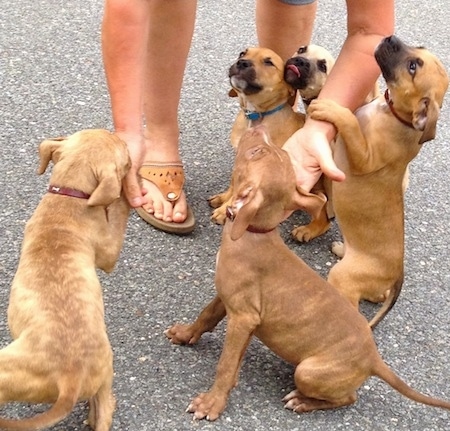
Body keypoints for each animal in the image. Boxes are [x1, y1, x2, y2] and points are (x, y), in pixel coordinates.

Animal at [0, 130, 130, 431]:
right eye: (124, 154)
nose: (122, 135)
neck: (69, 195)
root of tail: (69, 378)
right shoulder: (108, 251)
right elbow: (118, 209)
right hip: (104, 373)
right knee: (103, 411)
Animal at [164, 125, 450, 422]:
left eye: (257, 152)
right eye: (268, 150)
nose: (258, 127)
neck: (254, 235)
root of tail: (374, 360)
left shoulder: (243, 318)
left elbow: (226, 364)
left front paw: (212, 403)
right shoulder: (231, 301)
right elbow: (206, 316)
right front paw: (185, 334)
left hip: (307, 371)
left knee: (348, 398)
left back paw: (302, 402)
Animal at [308, 36, 448, 328]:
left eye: (413, 67)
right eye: (419, 50)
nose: (389, 37)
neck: (393, 113)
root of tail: (397, 276)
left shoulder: (364, 157)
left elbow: (349, 122)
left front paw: (330, 107)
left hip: (343, 278)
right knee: (373, 294)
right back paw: (341, 248)